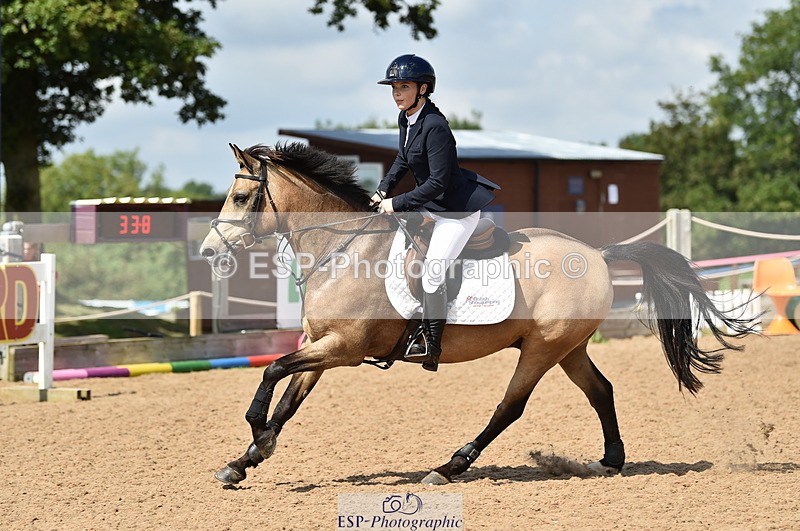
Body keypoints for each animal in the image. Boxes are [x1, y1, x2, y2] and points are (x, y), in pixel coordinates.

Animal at [200, 141, 757, 486]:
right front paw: (246, 459)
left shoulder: (344, 349)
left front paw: (255, 437)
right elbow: (288, 400)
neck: (343, 250)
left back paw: (449, 466)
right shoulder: (321, 347)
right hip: (569, 347)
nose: (208, 253)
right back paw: (611, 461)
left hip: (541, 348)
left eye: (242, 197)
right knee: (601, 390)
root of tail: (597, 255)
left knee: (509, 407)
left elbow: (271, 374)